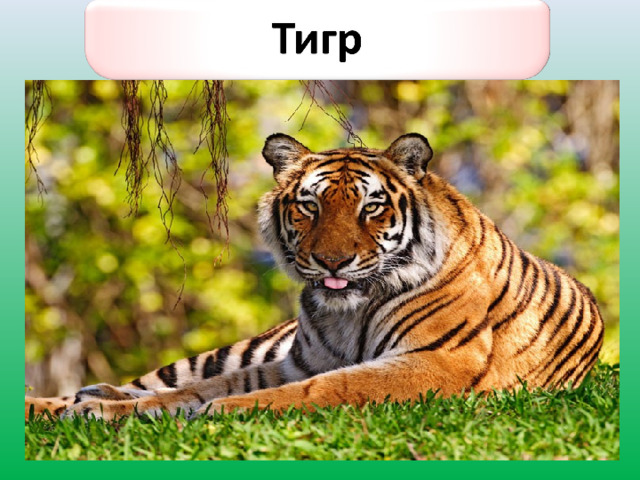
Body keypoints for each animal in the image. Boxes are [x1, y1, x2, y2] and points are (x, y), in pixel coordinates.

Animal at [25, 133, 604, 421]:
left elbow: (325, 388)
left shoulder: (437, 360)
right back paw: (70, 401)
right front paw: (103, 411)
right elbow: (192, 390)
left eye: (372, 206)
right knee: (152, 381)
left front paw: (220, 411)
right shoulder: (294, 361)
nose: (332, 262)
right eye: (310, 205)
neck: (350, 312)